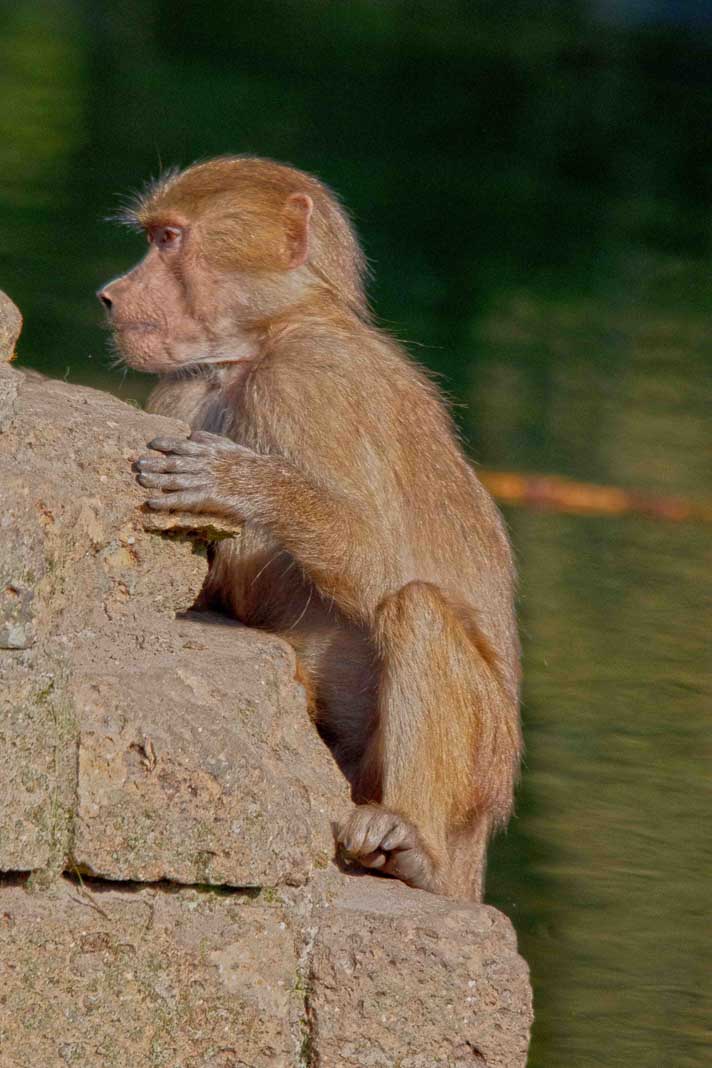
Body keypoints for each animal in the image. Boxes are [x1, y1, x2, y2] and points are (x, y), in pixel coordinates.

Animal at [98, 156, 521, 900]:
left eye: (169, 240)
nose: (111, 297)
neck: (264, 341)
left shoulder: (310, 382)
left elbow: (375, 554)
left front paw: (246, 487)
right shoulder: (183, 392)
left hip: (486, 771)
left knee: (417, 607)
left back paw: (415, 846)